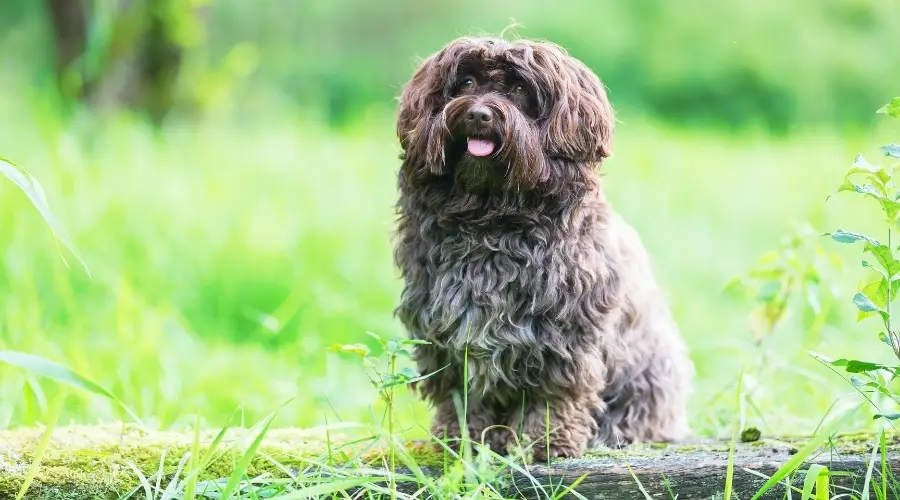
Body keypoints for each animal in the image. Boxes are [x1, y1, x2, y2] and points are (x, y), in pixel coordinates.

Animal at [390, 36, 692, 460]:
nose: (479, 114)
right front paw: (461, 440)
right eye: (465, 82)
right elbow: (461, 393)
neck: (493, 220)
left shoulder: (564, 334)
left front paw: (544, 442)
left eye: (519, 89)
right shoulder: (444, 328)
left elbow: (554, 394)